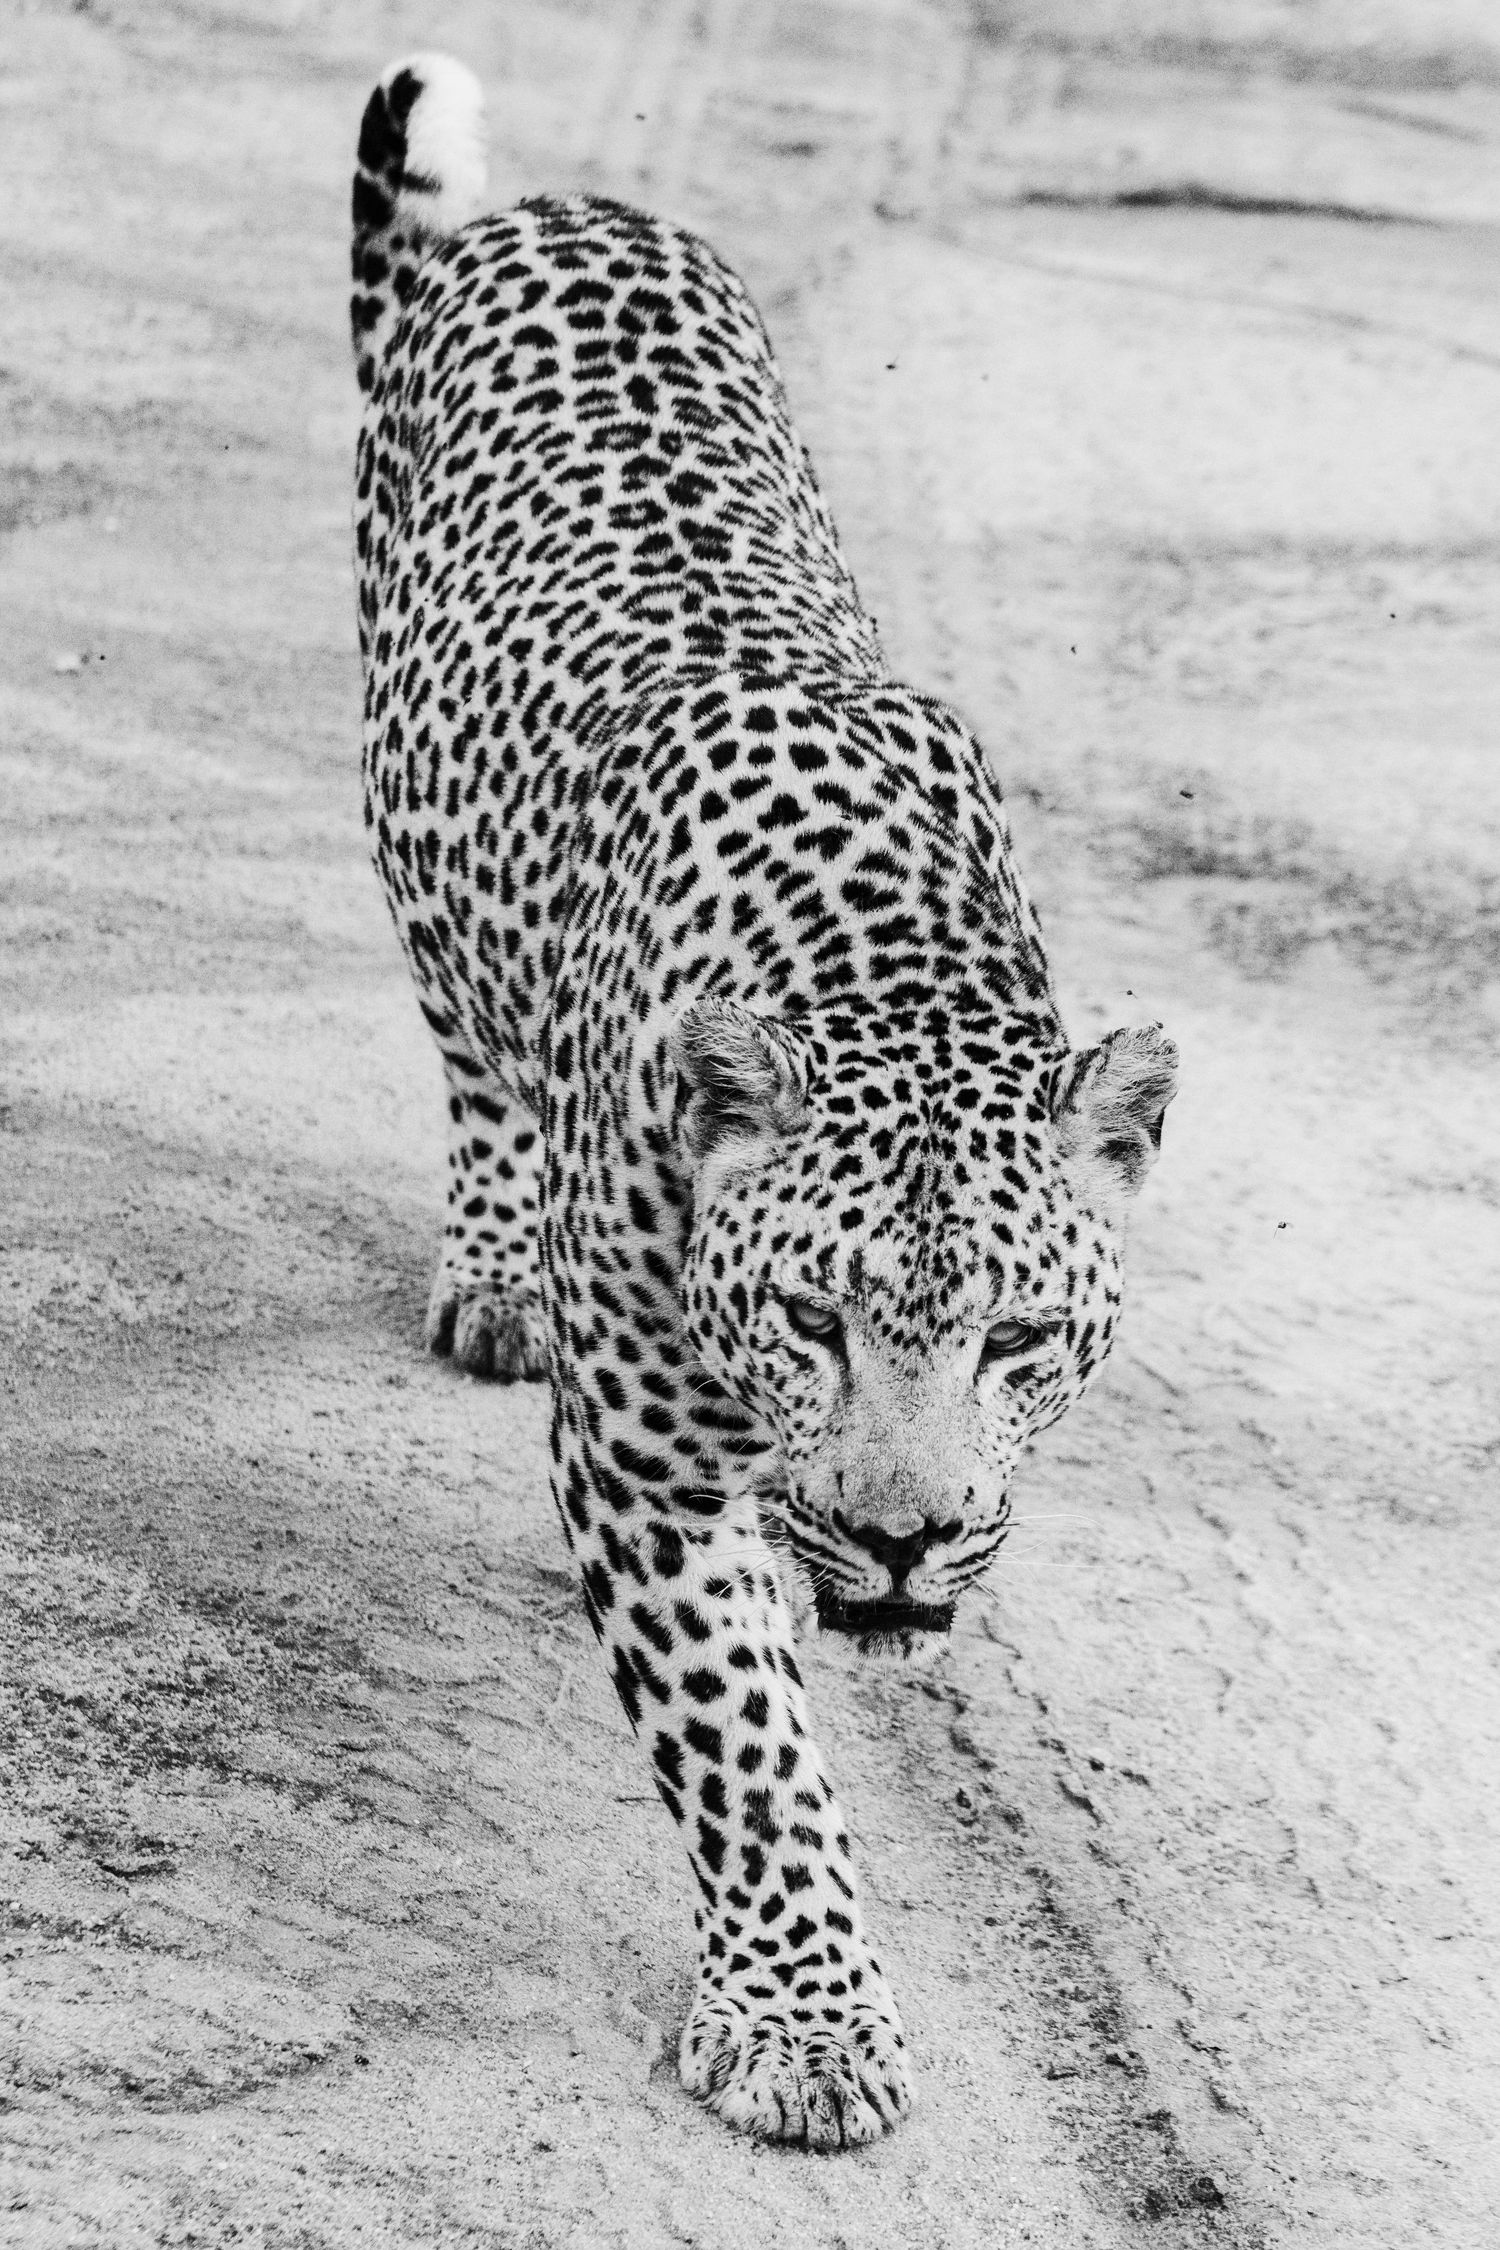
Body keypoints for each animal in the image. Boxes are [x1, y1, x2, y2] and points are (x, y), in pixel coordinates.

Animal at [349, 52, 1177, 2149]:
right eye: (812, 1319)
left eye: (1020, 1339)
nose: (900, 1540)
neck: (888, 962)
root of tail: (562, 208)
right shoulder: (644, 1458)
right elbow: (741, 1748)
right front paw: (806, 2023)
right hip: (414, 839)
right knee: (471, 1056)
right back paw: (496, 1275)